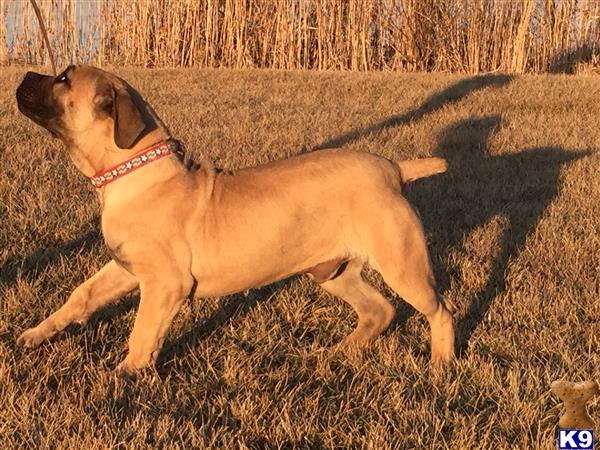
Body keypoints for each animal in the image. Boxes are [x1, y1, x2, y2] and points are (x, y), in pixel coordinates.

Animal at [15, 65, 454, 374]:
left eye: (63, 79)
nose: (24, 76)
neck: (133, 169)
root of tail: (393, 169)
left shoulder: (165, 283)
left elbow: (142, 332)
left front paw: (125, 376)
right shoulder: (126, 267)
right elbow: (81, 296)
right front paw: (37, 334)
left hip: (401, 262)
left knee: (439, 309)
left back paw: (440, 364)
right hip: (334, 271)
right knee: (380, 310)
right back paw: (339, 352)